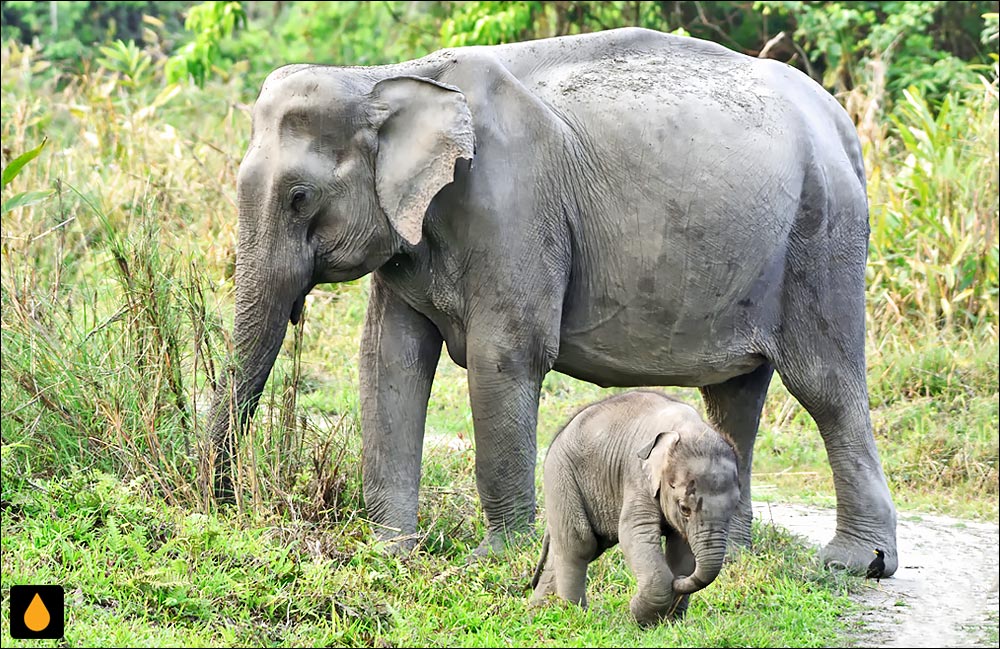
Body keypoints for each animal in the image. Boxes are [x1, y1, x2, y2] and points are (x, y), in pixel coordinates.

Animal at [209, 25, 900, 576]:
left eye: (299, 197)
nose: (221, 505)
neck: (381, 78)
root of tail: (844, 127)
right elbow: (389, 361)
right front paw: (390, 551)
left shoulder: (514, 208)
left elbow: (505, 358)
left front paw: (496, 559)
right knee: (735, 395)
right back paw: (733, 558)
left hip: (823, 239)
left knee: (825, 387)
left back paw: (854, 565)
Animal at [532, 390, 744, 624]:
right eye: (684, 509)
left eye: (734, 508)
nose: (679, 579)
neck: (687, 429)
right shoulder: (638, 476)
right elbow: (634, 532)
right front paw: (641, 618)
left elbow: (682, 547)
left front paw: (669, 622)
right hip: (561, 476)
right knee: (578, 543)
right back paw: (575, 614)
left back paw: (540, 610)